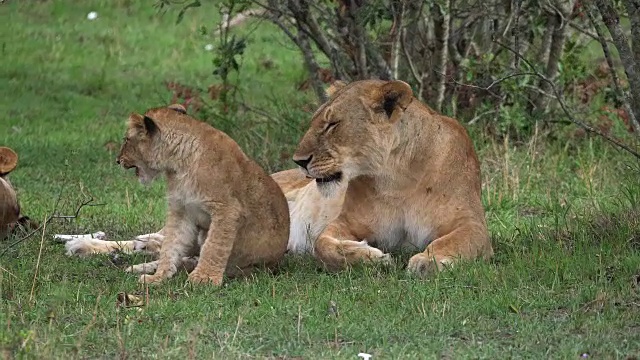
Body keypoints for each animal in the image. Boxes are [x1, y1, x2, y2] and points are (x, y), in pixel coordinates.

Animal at [65, 80, 492, 278]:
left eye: (332, 124)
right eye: (317, 120)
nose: (299, 160)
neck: (395, 176)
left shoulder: (473, 226)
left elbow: (453, 241)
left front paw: (427, 262)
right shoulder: (340, 223)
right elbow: (324, 244)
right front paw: (370, 256)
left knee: (159, 243)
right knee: (150, 238)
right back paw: (86, 247)